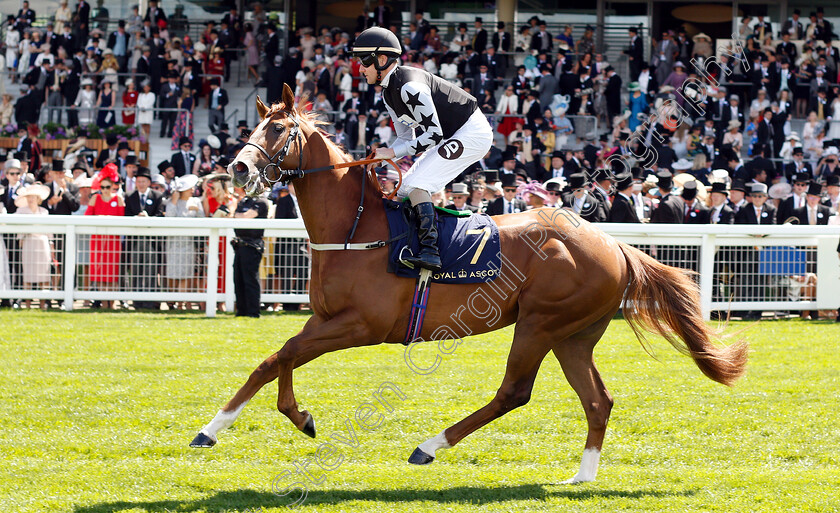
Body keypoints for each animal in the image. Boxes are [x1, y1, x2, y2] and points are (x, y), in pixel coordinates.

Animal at [195, 85, 748, 484]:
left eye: (279, 130)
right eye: (254, 126)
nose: (237, 168)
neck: (356, 228)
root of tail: (615, 246)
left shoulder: (359, 325)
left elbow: (280, 356)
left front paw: (243, 424)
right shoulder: (325, 319)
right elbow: (276, 360)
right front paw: (259, 422)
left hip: (540, 324)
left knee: (514, 392)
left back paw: (429, 446)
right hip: (573, 335)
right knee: (598, 401)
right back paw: (581, 477)